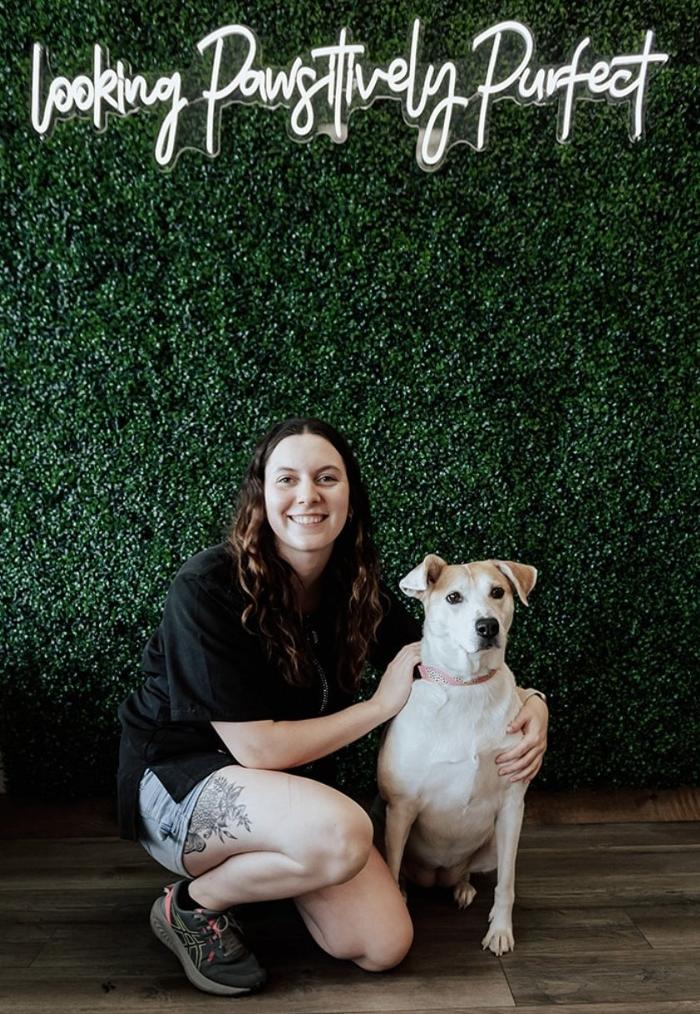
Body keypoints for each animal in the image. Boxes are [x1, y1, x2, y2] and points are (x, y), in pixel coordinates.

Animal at [375, 559, 535, 953]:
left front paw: (500, 930)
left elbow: (507, 883)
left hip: (492, 844)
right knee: (401, 870)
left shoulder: (512, 807)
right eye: (453, 597)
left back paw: (462, 887)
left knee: (470, 873)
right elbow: (392, 866)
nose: (488, 626)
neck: (467, 685)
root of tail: (437, 876)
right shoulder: (401, 808)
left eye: (498, 591)